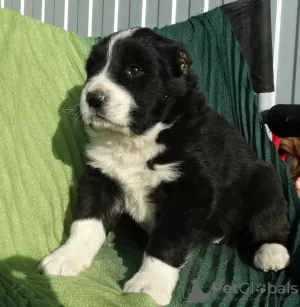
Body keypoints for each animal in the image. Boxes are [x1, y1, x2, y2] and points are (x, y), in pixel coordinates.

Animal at [38, 28, 292, 306]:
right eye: (92, 70)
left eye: (134, 70)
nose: (93, 98)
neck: (136, 139)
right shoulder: (101, 179)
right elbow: (86, 223)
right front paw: (66, 257)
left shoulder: (189, 191)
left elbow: (165, 240)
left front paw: (149, 284)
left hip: (265, 179)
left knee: (271, 220)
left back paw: (272, 252)